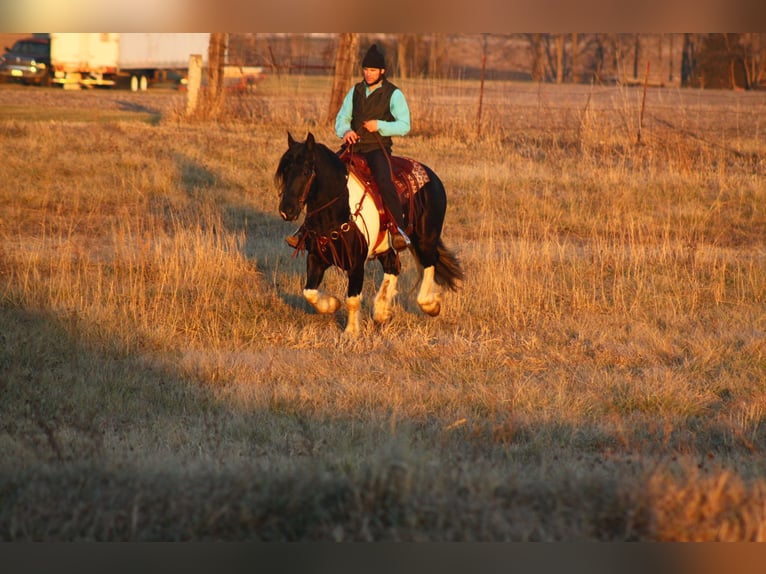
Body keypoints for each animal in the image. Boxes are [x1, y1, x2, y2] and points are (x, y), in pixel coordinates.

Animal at [276, 132, 462, 336]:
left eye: (305, 171)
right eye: (285, 171)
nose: (286, 210)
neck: (338, 211)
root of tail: (433, 177)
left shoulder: (356, 263)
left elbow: (352, 299)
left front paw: (351, 332)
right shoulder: (316, 258)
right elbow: (309, 293)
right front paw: (332, 304)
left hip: (425, 238)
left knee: (429, 263)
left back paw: (430, 305)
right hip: (388, 247)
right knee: (393, 266)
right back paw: (381, 311)